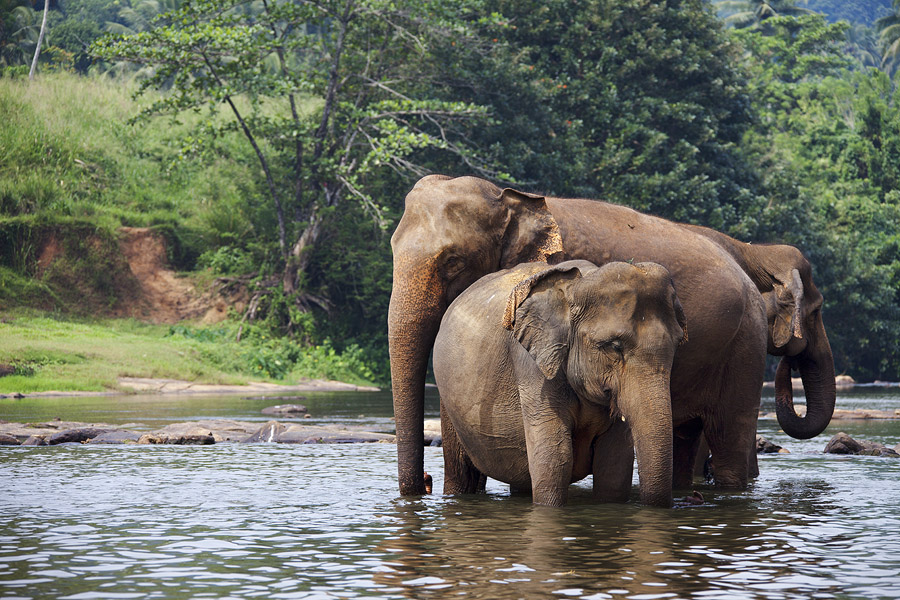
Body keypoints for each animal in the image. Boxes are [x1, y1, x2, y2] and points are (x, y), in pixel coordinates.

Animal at [432, 258, 684, 506]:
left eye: (677, 343)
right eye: (614, 346)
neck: (576, 286)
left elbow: (614, 466)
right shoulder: (533, 368)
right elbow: (554, 459)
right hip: (449, 404)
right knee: (460, 472)